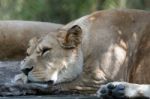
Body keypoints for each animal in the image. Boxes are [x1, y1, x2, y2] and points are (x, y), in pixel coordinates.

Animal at [17, 9, 149, 98]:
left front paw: (20, 82)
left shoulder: (98, 78)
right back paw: (115, 90)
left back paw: (116, 89)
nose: (25, 70)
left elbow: (60, 84)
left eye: (45, 50)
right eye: (27, 54)